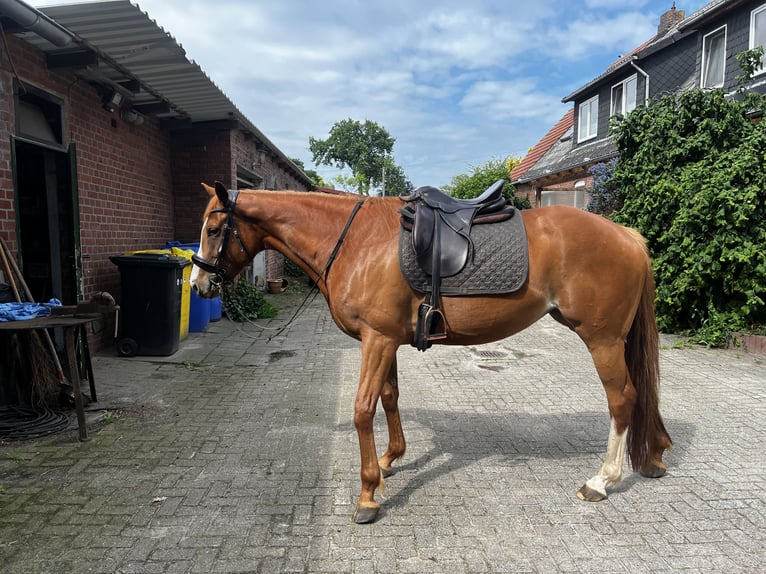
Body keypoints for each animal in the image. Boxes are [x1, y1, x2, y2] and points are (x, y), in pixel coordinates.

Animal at [190, 181, 672, 524]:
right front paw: (390, 460)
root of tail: (627, 234)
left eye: (213, 230)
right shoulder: (385, 339)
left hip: (603, 340)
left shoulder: (377, 340)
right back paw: (654, 456)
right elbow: (389, 398)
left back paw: (602, 480)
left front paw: (368, 494)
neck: (356, 241)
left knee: (622, 400)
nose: (198, 285)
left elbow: (363, 409)